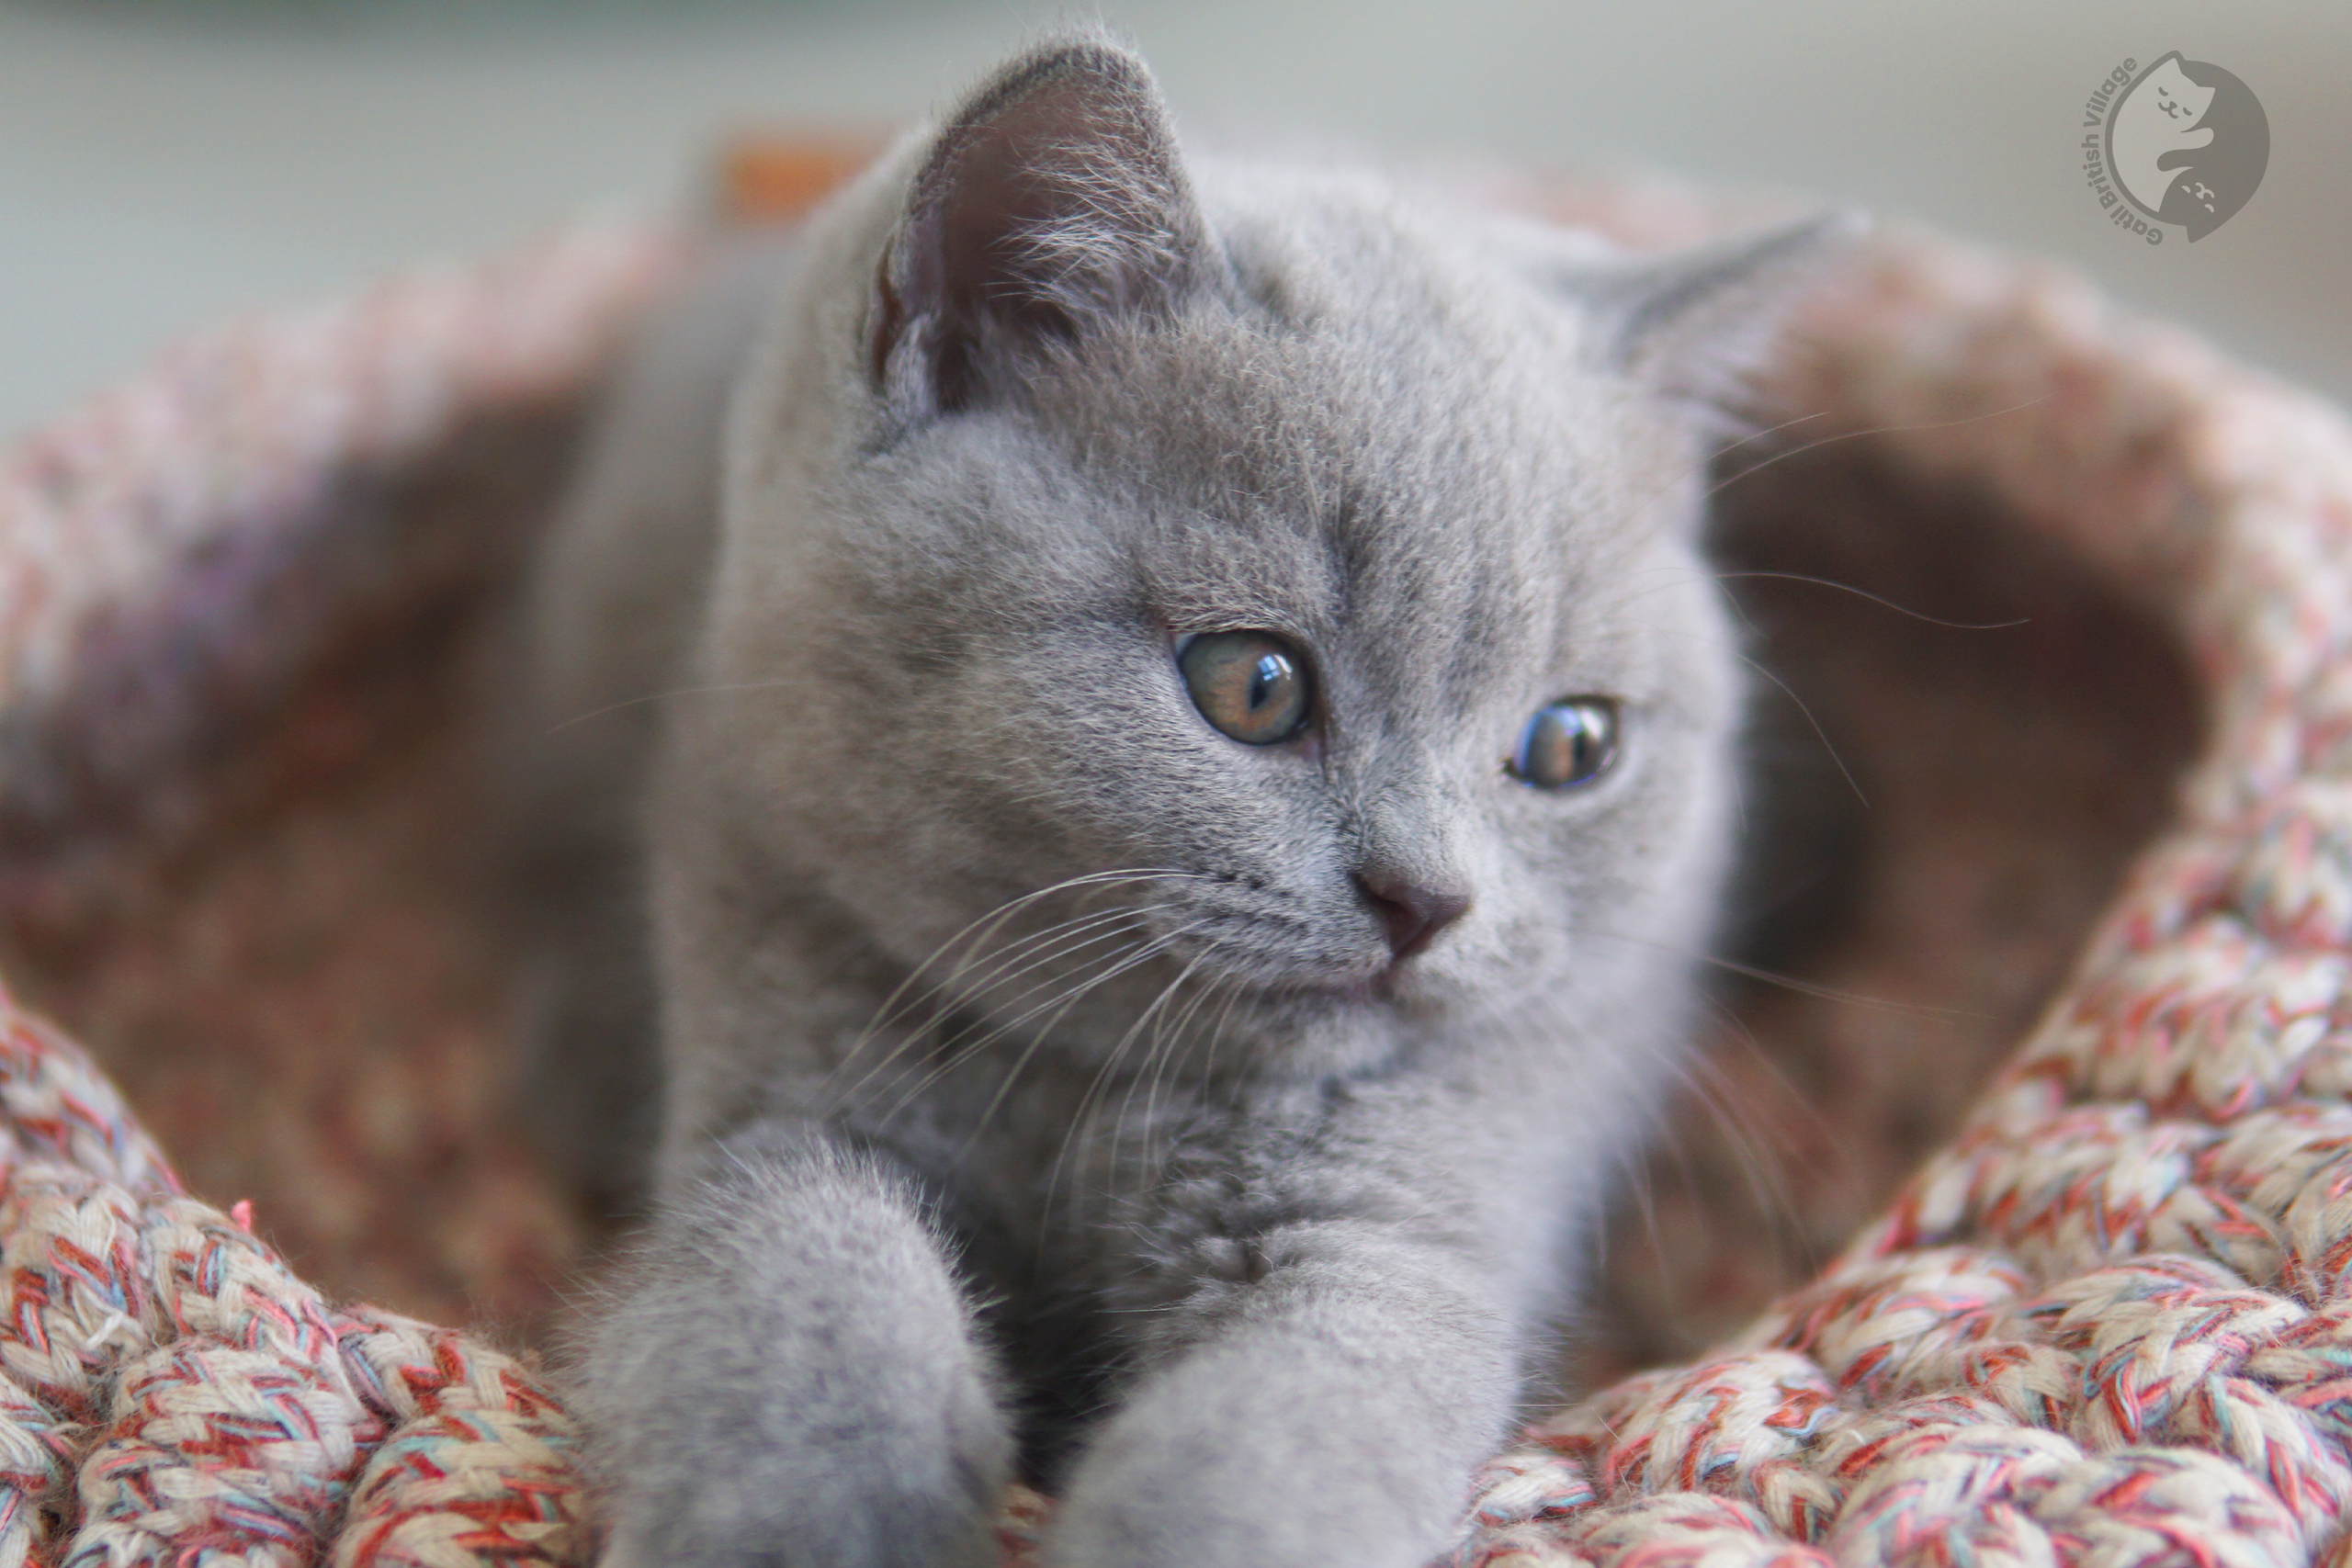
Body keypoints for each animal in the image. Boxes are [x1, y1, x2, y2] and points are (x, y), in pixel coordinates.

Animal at [529, 33, 1853, 1568]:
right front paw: (816, 1521)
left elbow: (1262, 1449)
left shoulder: (1389, 1218)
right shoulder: (781, 1092)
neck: (1095, 1089)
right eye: (1253, 682)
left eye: (1572, 743)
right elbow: (802, 1286)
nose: (1428, 898)